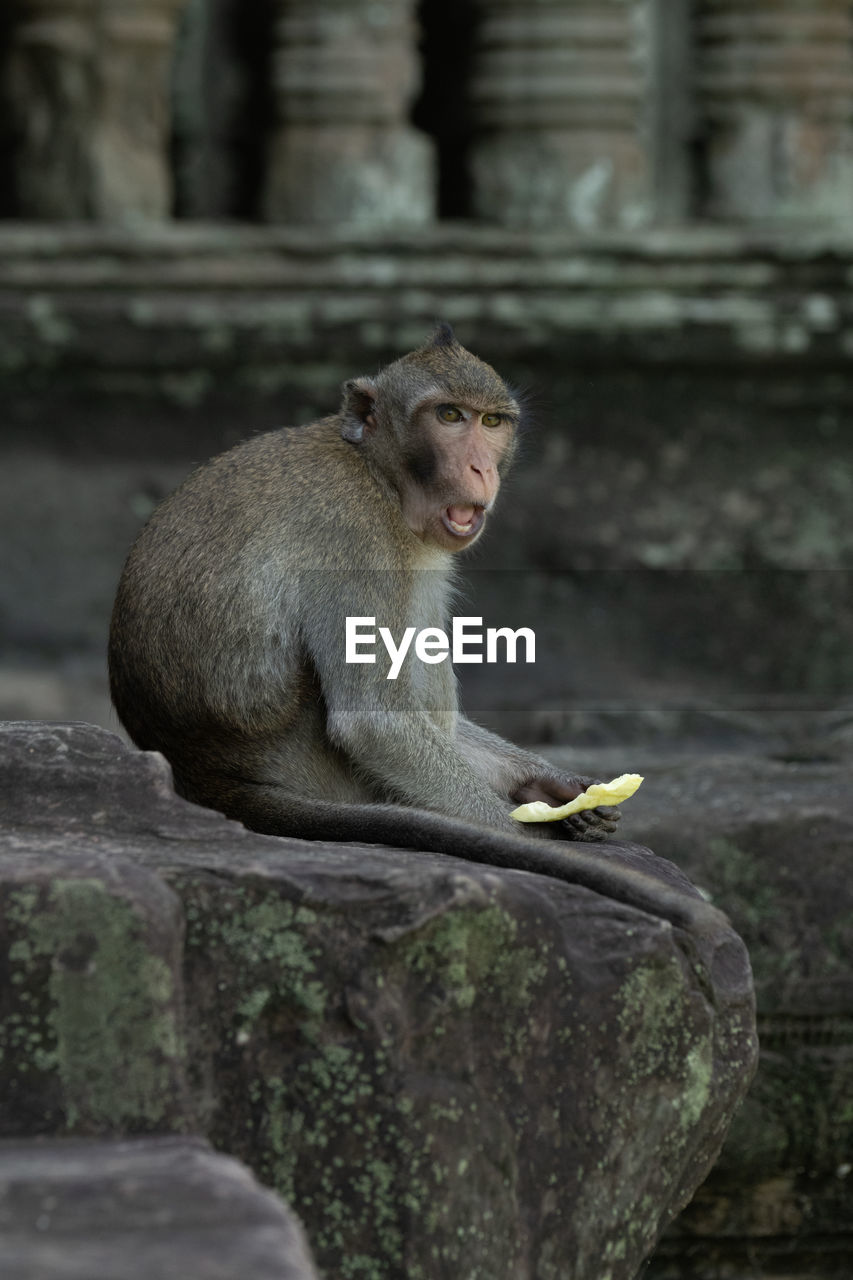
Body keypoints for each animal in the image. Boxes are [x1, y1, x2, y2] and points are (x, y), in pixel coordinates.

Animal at [109, 325, 722, 931]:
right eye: (449, 416)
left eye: (491, 422)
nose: (482, 470)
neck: (379, 475)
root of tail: (205, 773)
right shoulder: (355, 539)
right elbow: (375, 720)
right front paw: (530, 830)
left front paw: (558, 789)